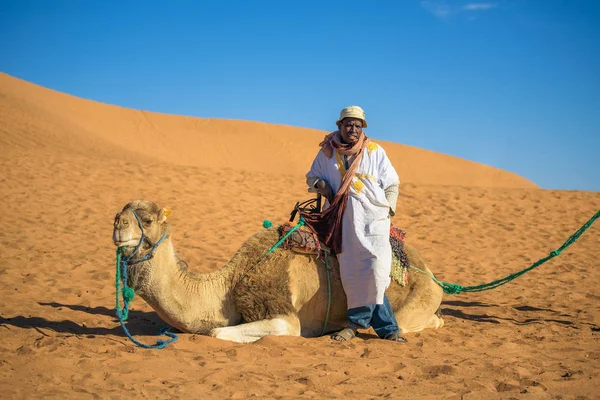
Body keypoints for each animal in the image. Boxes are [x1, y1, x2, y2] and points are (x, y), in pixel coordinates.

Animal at [112, 199, 442, 340]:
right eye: (121, 212)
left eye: (148, 220)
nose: (117, 224)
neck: (230, 284)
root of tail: (431, 274)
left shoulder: (285, 316)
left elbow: (217, 332)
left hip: (419, 299)